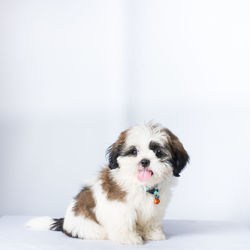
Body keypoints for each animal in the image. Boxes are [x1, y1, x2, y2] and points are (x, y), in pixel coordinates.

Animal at [26, 122, 188, 244]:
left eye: (158, 152)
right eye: (134, 152)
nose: (144, 161)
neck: (141, 185)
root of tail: (65, 222)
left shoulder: (155, 210)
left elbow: (151, 221)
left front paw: (153, 234)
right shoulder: (120, 207)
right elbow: (124, 222)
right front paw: (129, 238)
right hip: (89, 228)